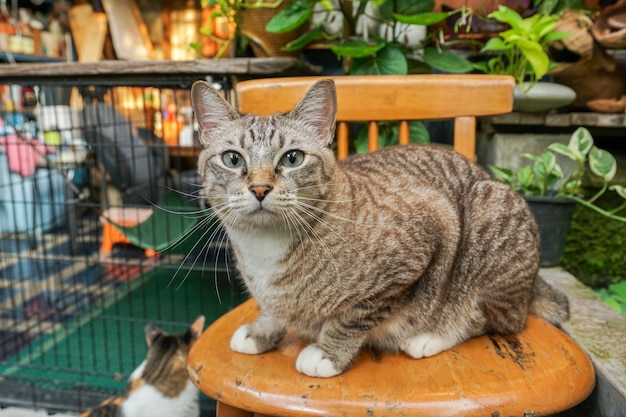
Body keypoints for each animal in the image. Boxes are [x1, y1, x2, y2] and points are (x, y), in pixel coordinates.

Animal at [190, 78, 564, 376]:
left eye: (292, 158)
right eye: (233, 159)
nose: (259, 189)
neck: (265, 249)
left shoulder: (412, 258)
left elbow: (352, 317)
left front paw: (327, 353)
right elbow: (273, 309)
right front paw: (261, 331)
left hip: (486, 220)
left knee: (489, 317)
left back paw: (431, 336)